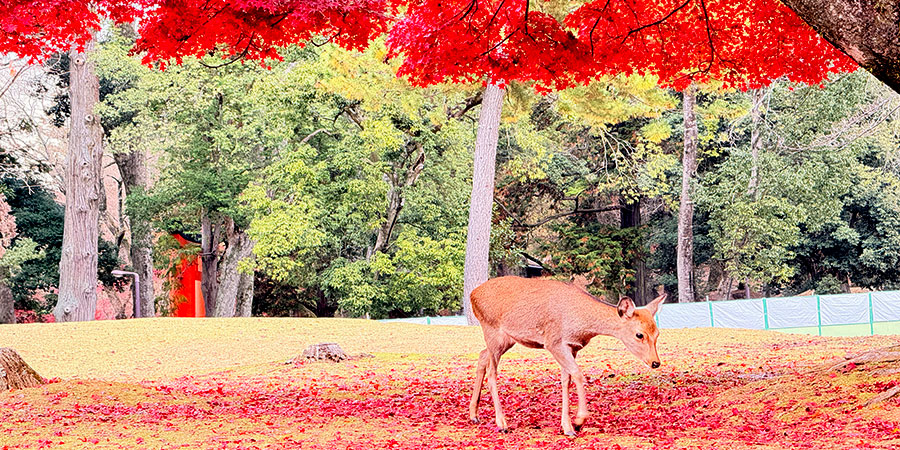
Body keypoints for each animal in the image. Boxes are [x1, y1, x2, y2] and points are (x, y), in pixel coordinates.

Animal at [468, 276, 666, 436]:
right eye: (639, 334)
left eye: (657, 333)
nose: (655, 362)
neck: (582, 326)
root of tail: (472, 295)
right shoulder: (554, 342)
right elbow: (577, 374)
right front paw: (578, 421)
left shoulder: (573, 347)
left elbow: (566, 380)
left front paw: (567, 427)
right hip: (492, 330)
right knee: (492, 372)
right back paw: (501, 423)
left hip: (506, 340)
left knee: (482, 355)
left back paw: (474, 415)